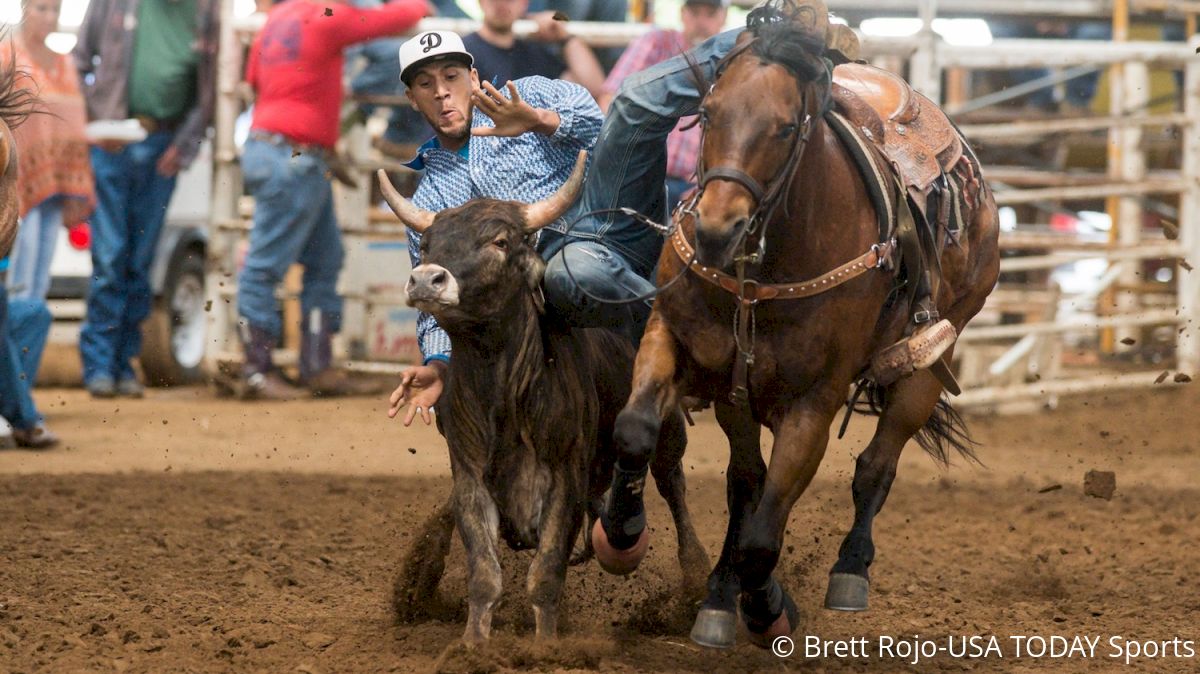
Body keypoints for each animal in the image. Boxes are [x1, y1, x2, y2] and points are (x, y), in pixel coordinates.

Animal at [595, 1, 998, 652]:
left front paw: (768, 609)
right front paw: (622, 535)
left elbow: (766, 533)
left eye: (785, 129)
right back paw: (717, 594)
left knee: (875, 465)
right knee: (746, 485)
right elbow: (637, 430)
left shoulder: (815, 401)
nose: (714, 229)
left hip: (933, 355)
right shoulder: (681, 343)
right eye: (707, 114)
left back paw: (848, 571)